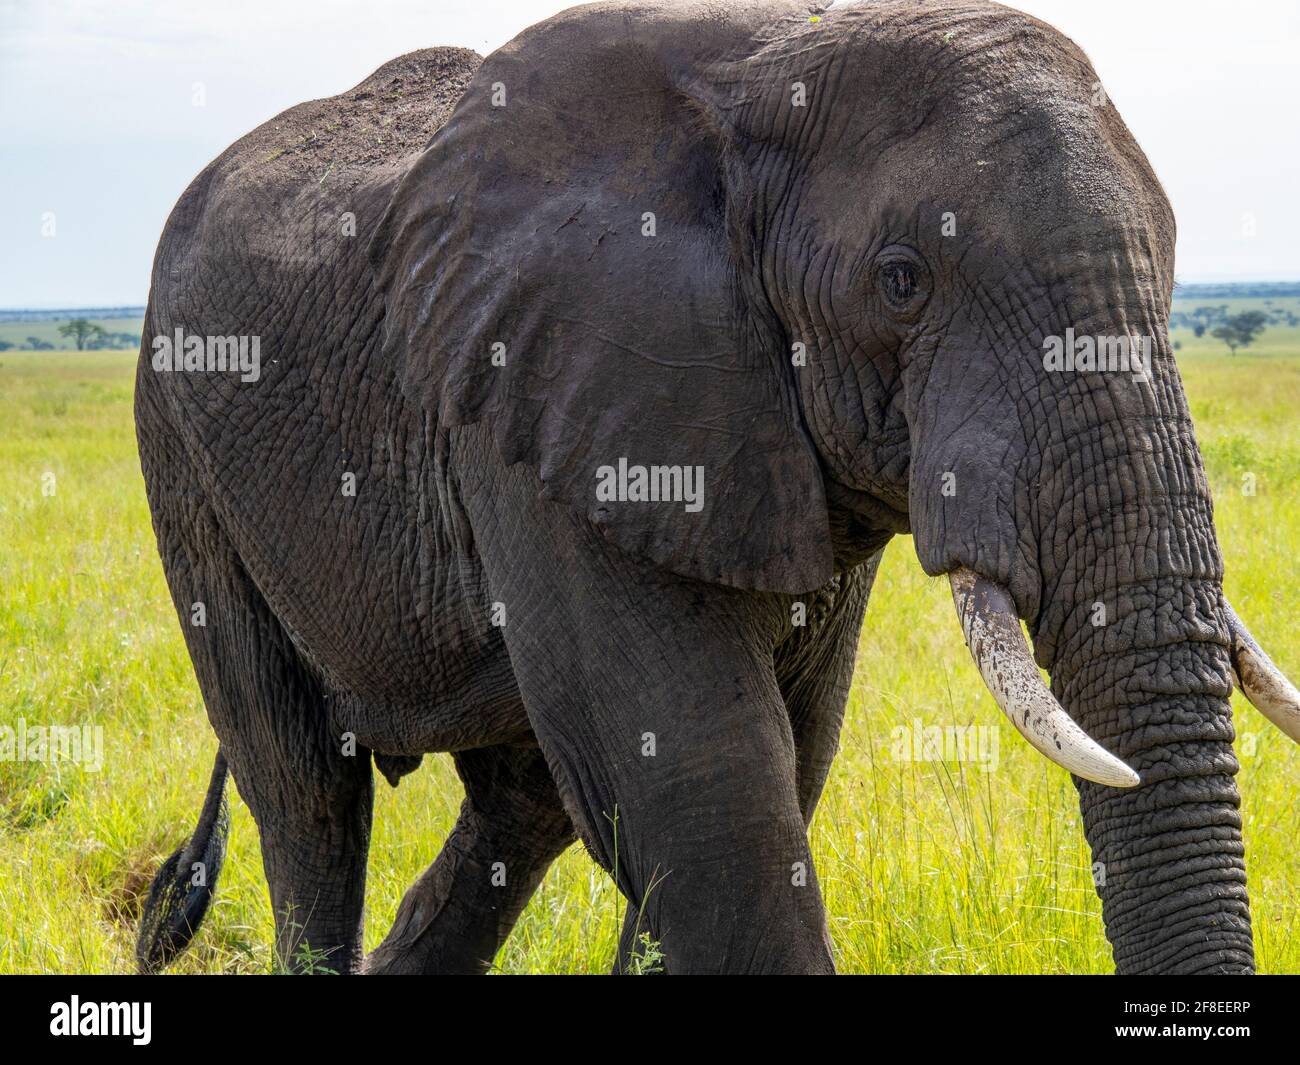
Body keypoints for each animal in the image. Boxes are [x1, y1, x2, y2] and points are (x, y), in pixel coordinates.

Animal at [134, 0, 1300, 972]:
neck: (777, 60)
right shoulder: (546, 393)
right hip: (180, 448)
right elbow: (714, 797)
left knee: (520, 805)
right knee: (307, 792)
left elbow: (775, 765)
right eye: (901, 280)